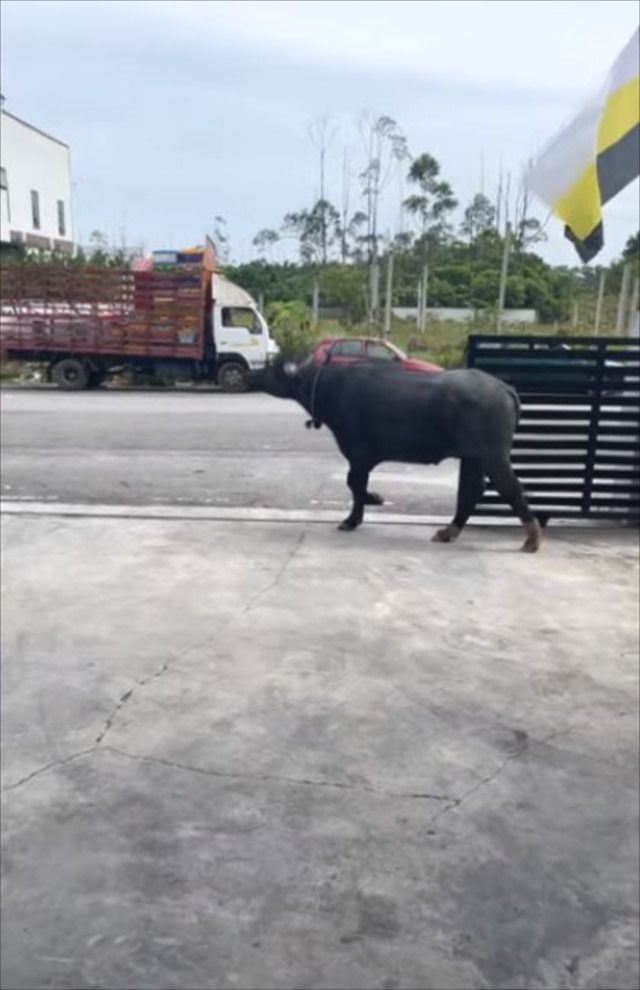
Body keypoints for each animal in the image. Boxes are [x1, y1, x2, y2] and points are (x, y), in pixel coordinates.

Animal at [253, 357, 541, 552]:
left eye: (272, 370)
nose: (250, 374)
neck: (329, 386)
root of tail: (505, 389)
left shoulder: (358, 452)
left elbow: (354, 483)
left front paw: (354, 518)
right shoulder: (363, 457)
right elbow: (355, 483)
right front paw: (372, 500)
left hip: (493, 454)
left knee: (511, 488)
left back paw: (532, 538)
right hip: (473, 457)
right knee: (473, 490)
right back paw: (449, 531)